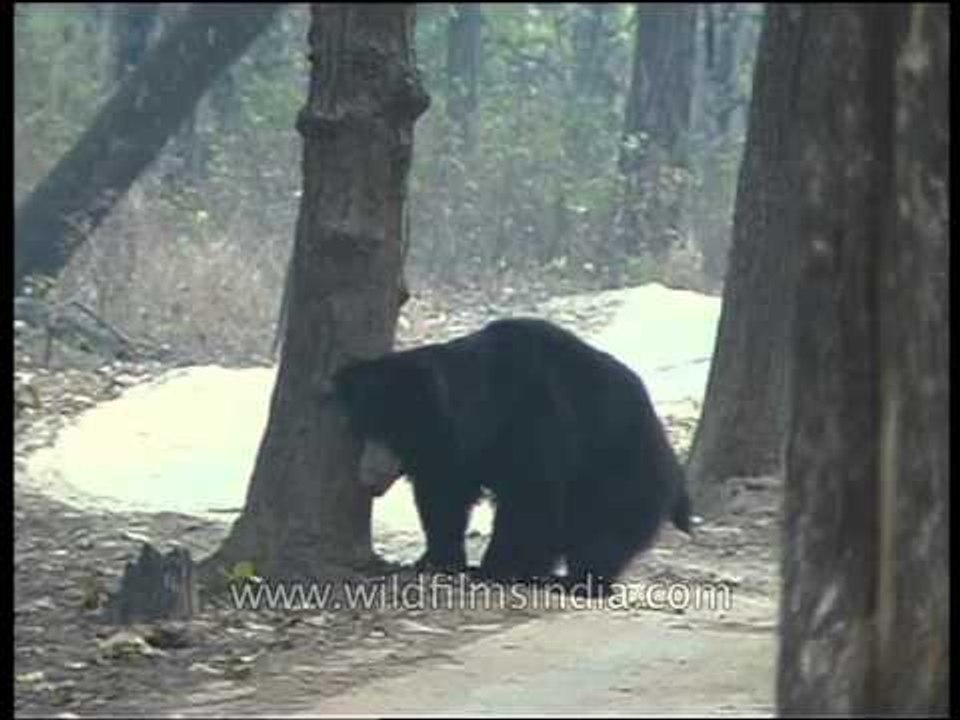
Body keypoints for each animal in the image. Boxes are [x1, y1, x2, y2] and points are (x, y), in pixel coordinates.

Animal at [330, 318, 691, 594]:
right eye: (363, 429)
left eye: (394, 432)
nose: (369, 477)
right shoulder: (452, 457)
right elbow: (443, 501)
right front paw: (437, 560)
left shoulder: (535, 424)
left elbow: (528, 498)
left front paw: (492, 568)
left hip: (618, 467)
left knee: (601, 529)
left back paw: (576, 581)